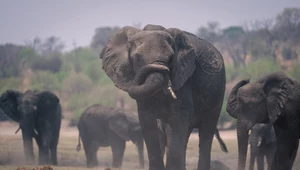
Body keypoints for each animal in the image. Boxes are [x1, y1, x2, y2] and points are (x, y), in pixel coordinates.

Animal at [99, 23, 226, 170]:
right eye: (137, 58)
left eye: (171, 58)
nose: (163, 69)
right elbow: (147, 122)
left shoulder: (184, 76)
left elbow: (180, 116)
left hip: (218, 92)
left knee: (206, 131)